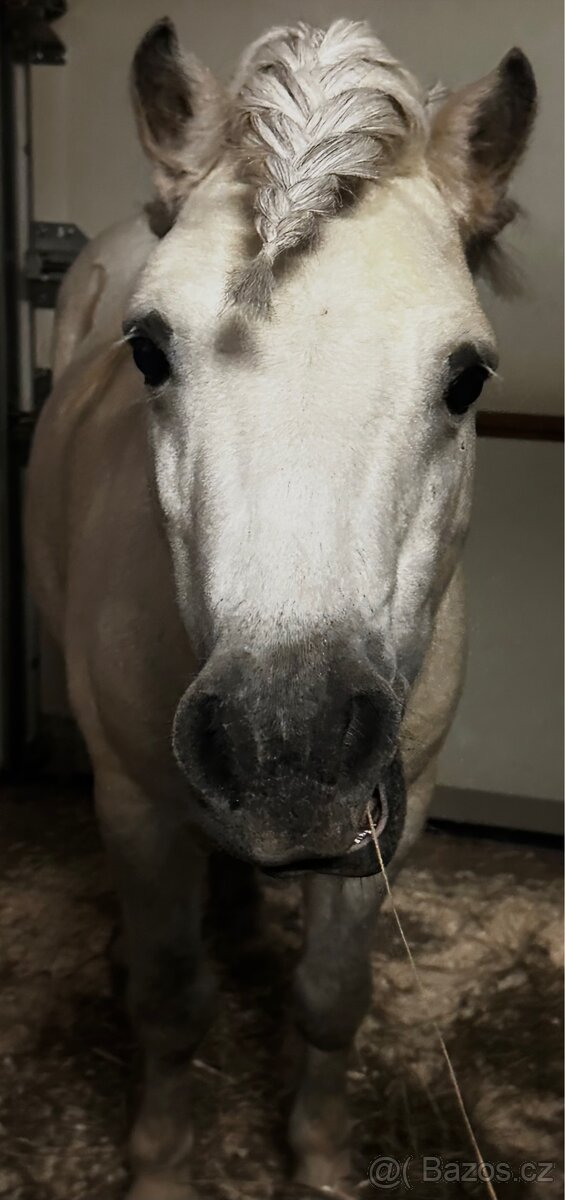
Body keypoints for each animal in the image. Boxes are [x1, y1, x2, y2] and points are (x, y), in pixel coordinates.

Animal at [25, 18, 536, 1200]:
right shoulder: (135, 805)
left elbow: (330, 1000)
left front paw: (319, 1157)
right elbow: (170, 1001)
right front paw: (161, 1166)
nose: (287, 749)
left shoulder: (396, 816)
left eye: (467, 376)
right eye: (149, 347)